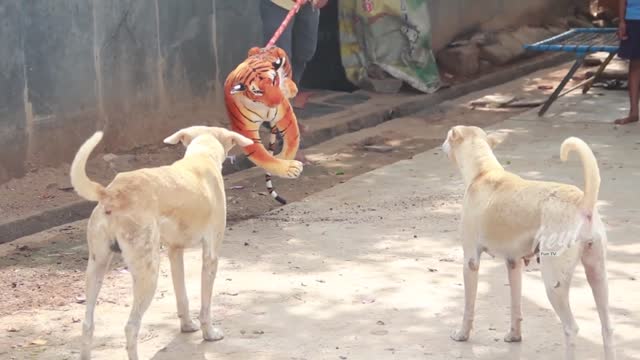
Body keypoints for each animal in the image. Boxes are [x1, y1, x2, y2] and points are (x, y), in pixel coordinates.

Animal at [69, 125, 251, 358]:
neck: (201, 155)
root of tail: (112, 192)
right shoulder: (211, 254)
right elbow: (206, 306)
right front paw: (209, 333)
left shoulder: (175, 251)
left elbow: (182, 295)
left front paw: (187, 326)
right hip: (148, 274)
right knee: (131, 327)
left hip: (96, 267)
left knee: (87, 324)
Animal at [444, 126, 616, 360]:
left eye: (447, 137)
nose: (442, 144)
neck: (483, 173)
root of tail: (584, 204)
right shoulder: (513, 263)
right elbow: (516, 305)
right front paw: (514, 336)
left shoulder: (470, 261)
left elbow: (468, 307)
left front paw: (462, 334)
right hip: (598, 275)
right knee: (607, 327)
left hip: (554, 284)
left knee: (571, 329)